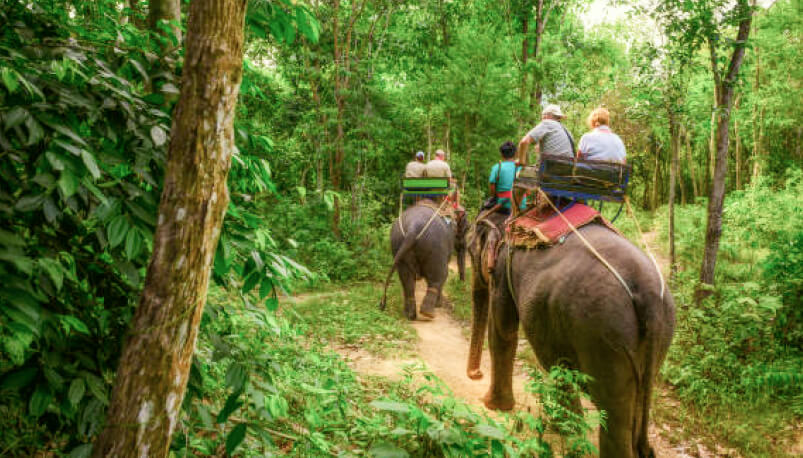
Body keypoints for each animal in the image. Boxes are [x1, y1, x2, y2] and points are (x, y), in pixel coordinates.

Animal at [468, 214, 676, 458]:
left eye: (470, 251)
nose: (476, 374)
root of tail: (649, 293)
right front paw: (566, 428)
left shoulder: (502, 269)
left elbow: (503, 329)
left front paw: (492, 406)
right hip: (658, 334)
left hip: (604, 333)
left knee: (612, 413)